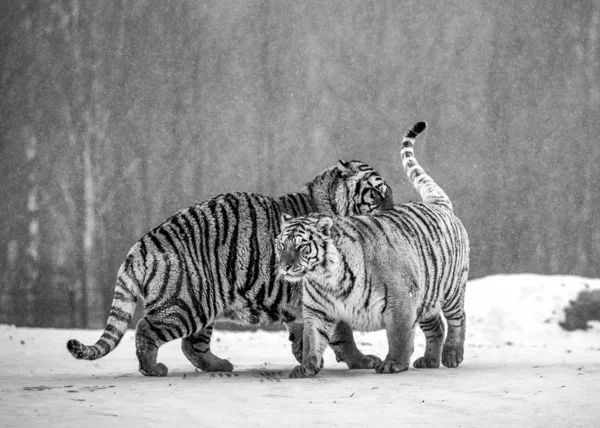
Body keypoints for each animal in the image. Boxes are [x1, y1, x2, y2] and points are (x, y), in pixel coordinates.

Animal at [67, 159, 394, 376]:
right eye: (377, 194)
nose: (392, 211)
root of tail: (142, 243)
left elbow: (305, 331)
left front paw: (306, 356)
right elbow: (344, 334)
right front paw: (363, 361)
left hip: (203, 303)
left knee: (192, 346)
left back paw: (219, 365)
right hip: (188, 304)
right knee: (147, 329)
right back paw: (153, 368)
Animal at [274, 121, 472, 378]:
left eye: (301, 246)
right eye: (281, 245)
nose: (285, 266)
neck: (326, 278)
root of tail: (437, 204)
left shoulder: (401, 300)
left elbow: (398, 336)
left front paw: (393, 364)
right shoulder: (317, 311)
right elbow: (312, 339)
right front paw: (306, 367)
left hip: (451, 289)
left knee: (458, 319)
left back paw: (452, 354)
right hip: (427, 293)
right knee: (436, 325)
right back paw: (429, 360)